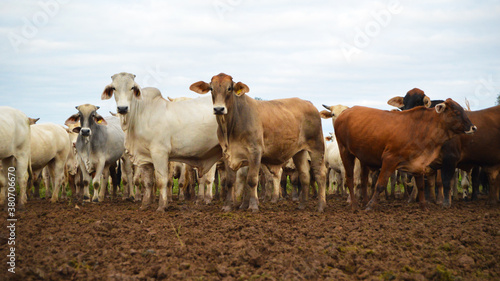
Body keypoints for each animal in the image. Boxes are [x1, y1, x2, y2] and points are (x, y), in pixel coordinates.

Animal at [101, 72, 223, 212]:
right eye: (114, 88)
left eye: (132, 87)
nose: (122, 108)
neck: (140, 115)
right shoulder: (144, 158)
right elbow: (147, 182)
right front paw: (145, 204)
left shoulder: (160, 153)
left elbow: (162, 180)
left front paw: (162, 206)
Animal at [188, 73, 328, 211]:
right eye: (211, 88)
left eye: (229, 88)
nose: (218, 109)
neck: (231, 127)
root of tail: (308, 103)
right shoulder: (227, 153)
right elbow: (230, 181)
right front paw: (227, 206)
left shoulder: (255, 152)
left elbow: (252, 180)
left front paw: (254, 206)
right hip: (300, 152)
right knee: (305, 176)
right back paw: (302, 205)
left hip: (316, 147)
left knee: (320, 175)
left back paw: (320, 206)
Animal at [336, 98, 476, 210]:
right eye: (456, 112)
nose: (473, 127)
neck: (420, 128)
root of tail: (345, 113)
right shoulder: (389, 159)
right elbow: (380, 185)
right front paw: (370, 206)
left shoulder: (419, 162)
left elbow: (420, 186)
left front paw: (424, 207)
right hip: (345, 152)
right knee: (349, 178)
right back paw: (354, 205)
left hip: (363, 158)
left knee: (364, 180)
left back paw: (364, 202)